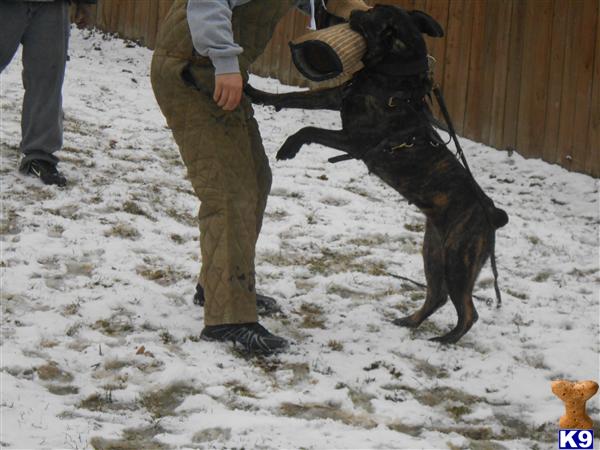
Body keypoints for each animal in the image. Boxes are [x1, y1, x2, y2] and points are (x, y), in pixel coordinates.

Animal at [246, 3, 508, 342]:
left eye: (374, 14)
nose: (354, 11)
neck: (392, 78)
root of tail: (491, 214)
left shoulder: (354, 139)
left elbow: (309, 129)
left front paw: (289, 146)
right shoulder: (336, 97)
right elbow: (291, 98)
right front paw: (254, 92)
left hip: (458, 259)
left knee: (468, 310)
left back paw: (446, 339)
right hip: (434, 252)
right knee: (437, 296)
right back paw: (410, 321)